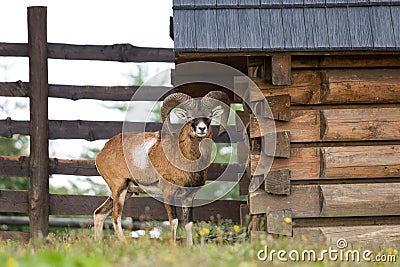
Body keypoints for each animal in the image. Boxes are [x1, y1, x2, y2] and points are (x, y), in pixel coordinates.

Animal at [93, 91, 228, 246]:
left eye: (210, 116)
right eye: (189, 117)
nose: (201, 129)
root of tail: (102, 153)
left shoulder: (188, 197)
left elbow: (188, 224)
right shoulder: (168, 194)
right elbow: (174, 222)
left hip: (125, 192)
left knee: (99, 214)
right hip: (119, 189)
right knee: (116, 218)